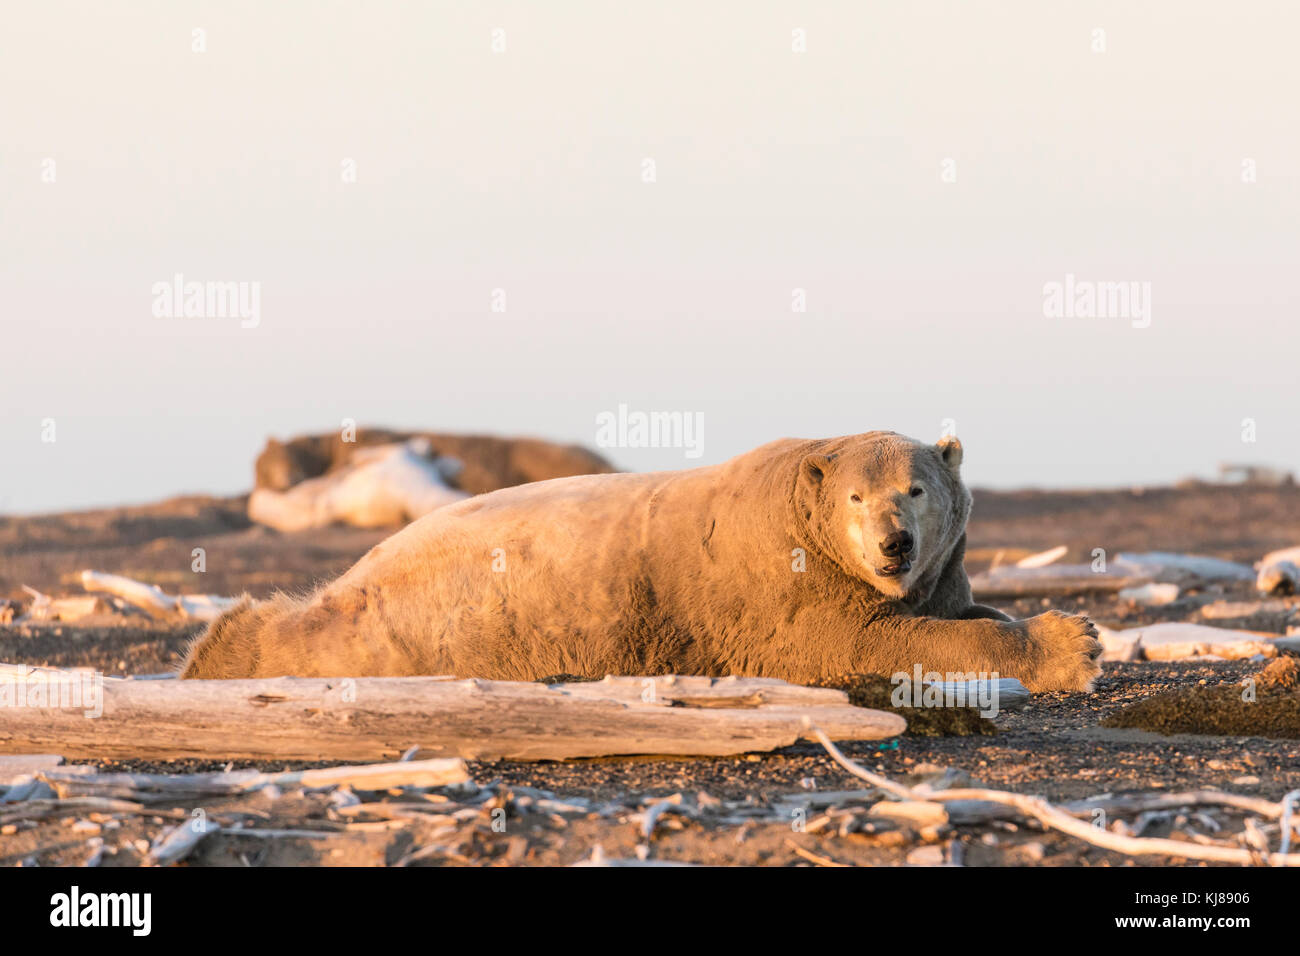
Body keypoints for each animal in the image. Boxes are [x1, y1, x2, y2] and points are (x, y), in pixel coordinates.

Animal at [180, 434, 1097, 697]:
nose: (893, 544)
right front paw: (1075, 643)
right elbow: (866, 643)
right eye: (855, 499)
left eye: (915, 488)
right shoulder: (788, 590)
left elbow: (951, 611)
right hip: (398, 624)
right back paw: (221, 650)